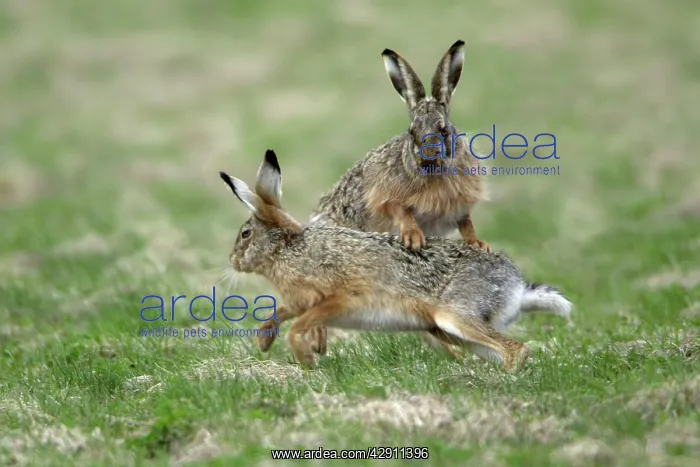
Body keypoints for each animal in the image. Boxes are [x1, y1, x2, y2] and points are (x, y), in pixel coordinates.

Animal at [218, 149, 573, 370]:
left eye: (245, 234)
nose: (233, 260)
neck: (288, 250)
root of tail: (516, 287)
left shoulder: (338, 299)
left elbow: (299, 325)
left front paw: (306, 359)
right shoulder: (299, 301)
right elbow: (280, 314)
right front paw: (265, 342)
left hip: (455, 315)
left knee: (516, 349)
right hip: (448, 330)